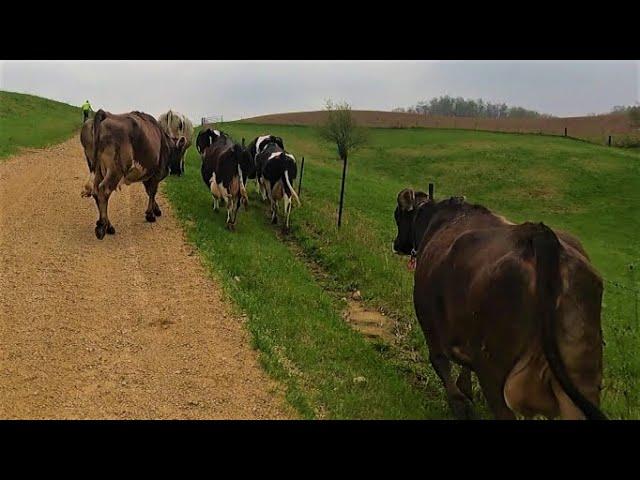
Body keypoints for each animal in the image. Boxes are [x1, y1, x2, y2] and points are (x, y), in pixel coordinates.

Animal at [82, 109, 185, 239]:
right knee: (103, 190)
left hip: (97, 169)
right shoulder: (157, 173)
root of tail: (105, 114)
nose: (179, 172)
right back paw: (102, 226)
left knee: (96, 191)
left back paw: (108, 226)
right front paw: (150, 215)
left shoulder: (148, 174)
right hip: (115, 169)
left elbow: (149, 191)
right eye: (181, 152)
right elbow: (152, 192)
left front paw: (156, 210)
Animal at [390, 189, 604, 422]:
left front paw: (460, 404)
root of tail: (540, 236)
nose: (396, 244)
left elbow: (439, 361)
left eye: (397, 216)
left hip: (493, 368)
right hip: (581, 376)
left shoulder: (428, 317)